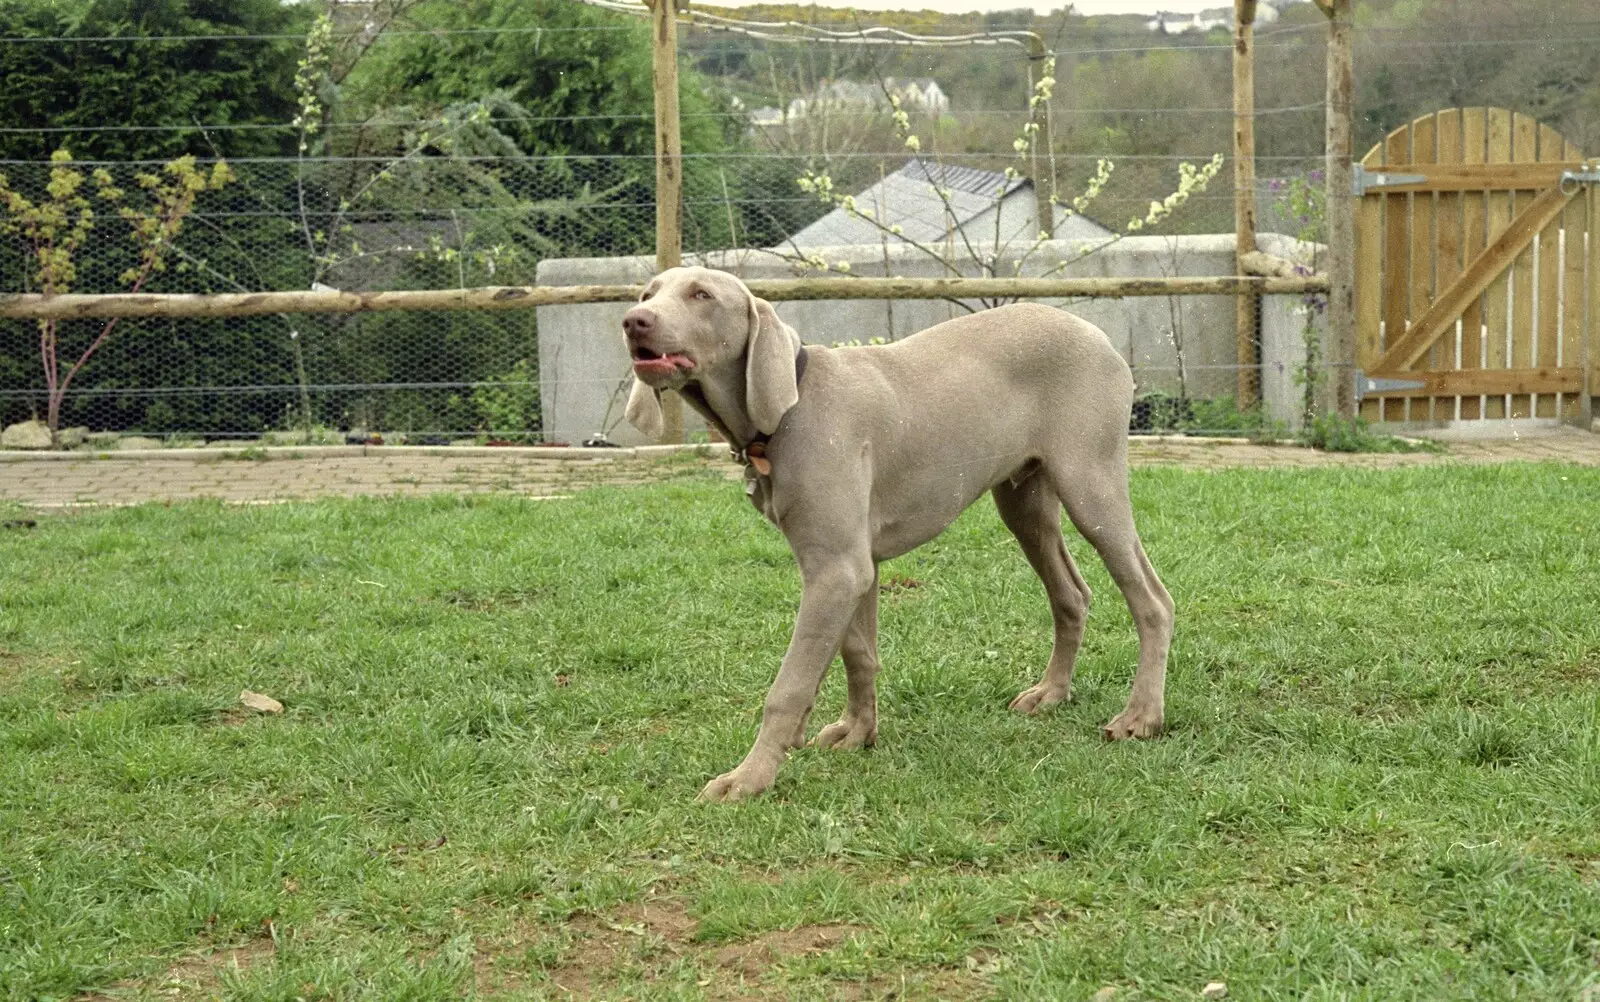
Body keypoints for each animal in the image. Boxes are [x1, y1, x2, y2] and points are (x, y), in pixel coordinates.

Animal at [624, 264, 1177, 797]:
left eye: (701, 295)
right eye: (649, 293)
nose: (633, 321)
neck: (787, 412)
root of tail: (1097, 334)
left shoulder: (836, 569)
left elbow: (789, 685)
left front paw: (748, 779)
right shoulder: (853, 566)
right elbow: (857, 653)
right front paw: (857, 732)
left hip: (1091, 484)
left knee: (1153, 600)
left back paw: (1141, 716)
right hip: (1024, 503)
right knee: (1072, 595)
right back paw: (1051, 694)